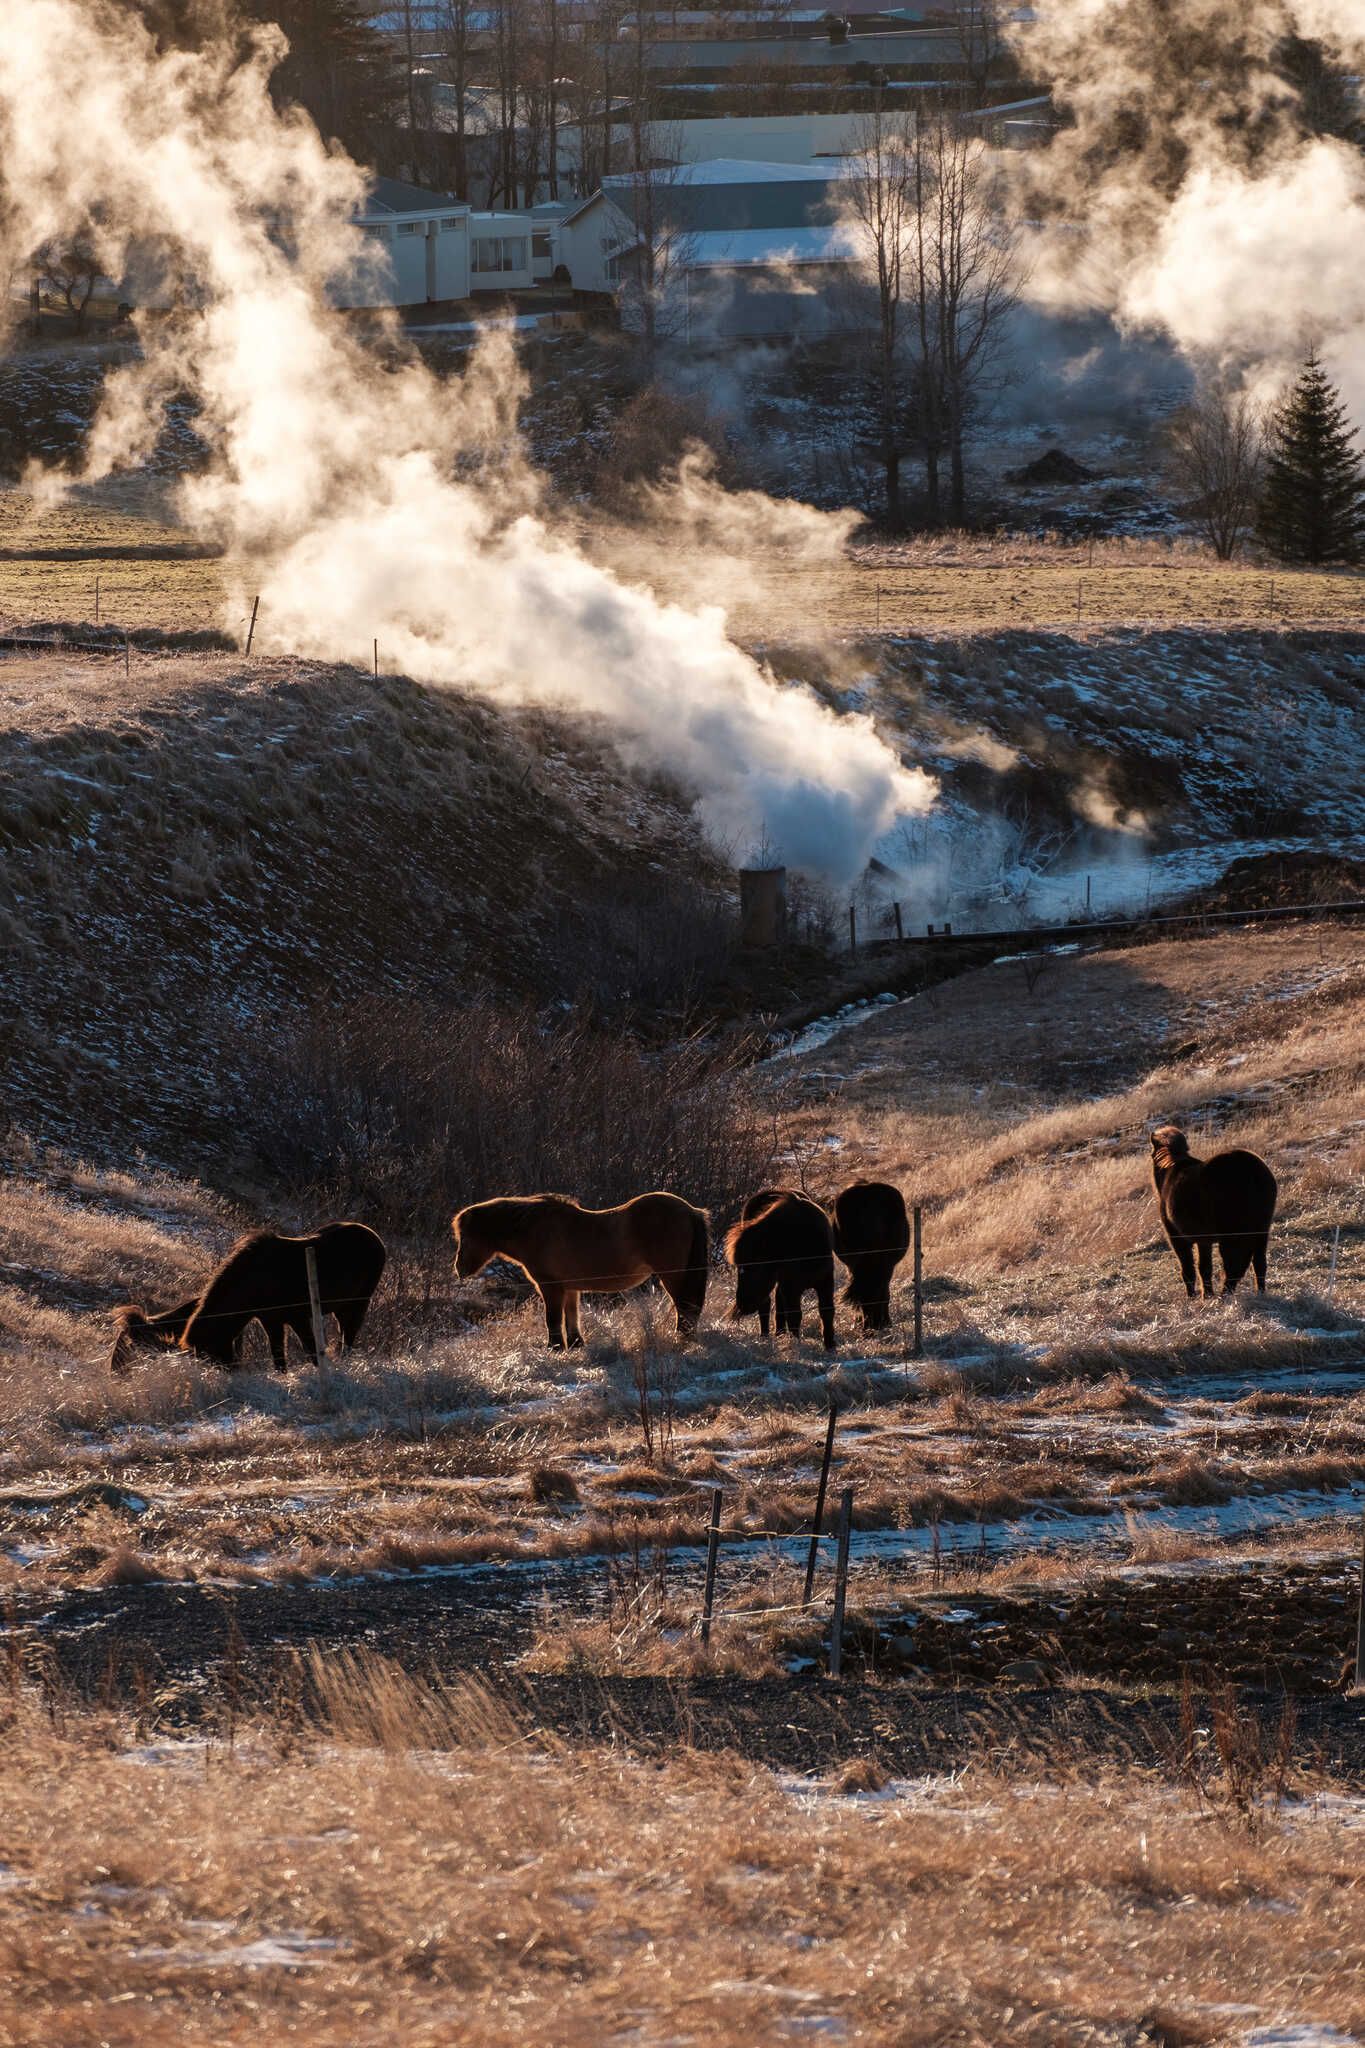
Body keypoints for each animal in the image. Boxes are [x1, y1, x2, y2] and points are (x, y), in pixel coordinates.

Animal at [109, 1212, 388, 1376]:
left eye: (129, 1343)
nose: (114, 1371)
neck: (255, 1281)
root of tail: (375, 1237)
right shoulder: (271, 1320)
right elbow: (279, 1357)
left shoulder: (298, 1316)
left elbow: (311, 1351)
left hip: (356, 1304)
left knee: (348, 1336)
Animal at [450, 1196, 712, 1351]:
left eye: (466, 1237)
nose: (459, 1269)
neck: (533, 1230)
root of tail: (691, 1211)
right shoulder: (570, 1288)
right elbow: (572, 1316)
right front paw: (576, 1344)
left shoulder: (550, 1287)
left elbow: (553, 1319)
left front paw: (554, 1348)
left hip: (673, 1276)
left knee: (685, 1306)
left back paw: (682, 1337)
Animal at [1154, 1122, 1285, 1294]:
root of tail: (1254, 1173)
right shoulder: (1204, 1241)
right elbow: (1204, 1268)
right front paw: (1207, 1295)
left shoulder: (1178, 1239)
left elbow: (1189, 1270)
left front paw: (1195, 1296)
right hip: (1262, 1232)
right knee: (1259, 1264)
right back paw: (1259, 1293)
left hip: (1231, 1236)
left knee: (1233, 1267)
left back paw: (1225, 1295)